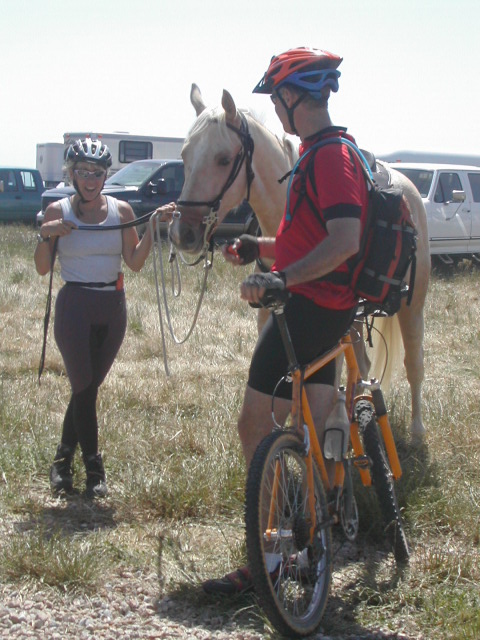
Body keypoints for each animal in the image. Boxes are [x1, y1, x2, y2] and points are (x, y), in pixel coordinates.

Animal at [170, 84, 430, 440]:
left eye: (223, 159)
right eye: (185, 156)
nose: (183, 232)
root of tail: (409, 188)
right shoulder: (272, 321)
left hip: (411, 307)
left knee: (414, 364)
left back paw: (416, 431)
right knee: (361, 364)